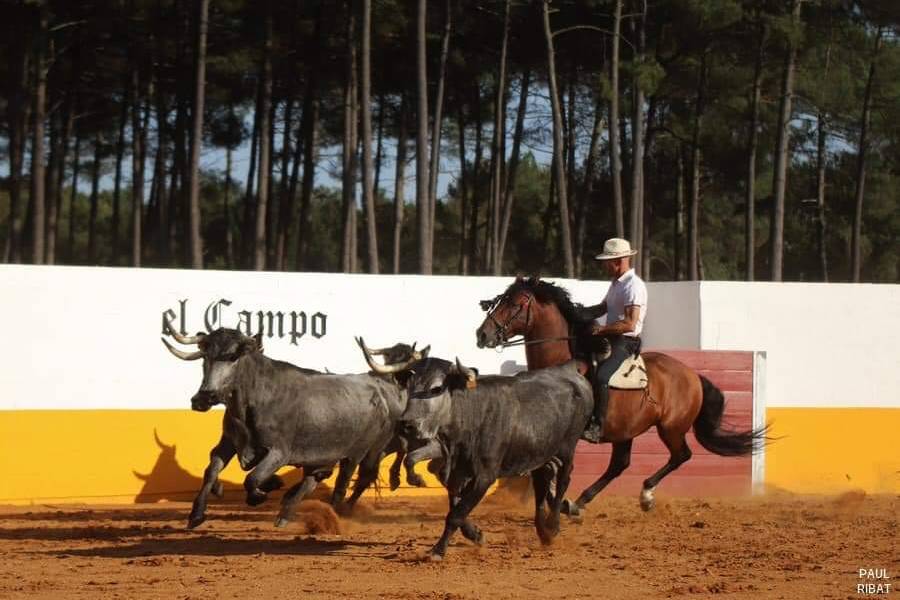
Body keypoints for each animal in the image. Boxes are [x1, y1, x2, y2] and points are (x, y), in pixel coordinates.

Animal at [162, 326, 428, 528]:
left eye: (233, 357)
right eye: (204, 357)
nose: (203, 398)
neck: (253, 399)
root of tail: (381, 386)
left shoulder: (279, 452)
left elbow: (252, 478)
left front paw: (261, 493)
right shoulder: (228, 442)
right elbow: (211, 470)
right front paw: (196, 514)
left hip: (362, 452)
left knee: (348, 483)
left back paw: (336, 514)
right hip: (324, 455)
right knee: (314, 479)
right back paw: (286, 511)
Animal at [472, 276, 768, 516]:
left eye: (516, 303)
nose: (482, 334)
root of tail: (692, 374)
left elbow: (553, 465)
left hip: (670, 428)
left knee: (680, 455)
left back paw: (645, 495)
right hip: (626, 430)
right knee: (619, 465)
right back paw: (578, 503)